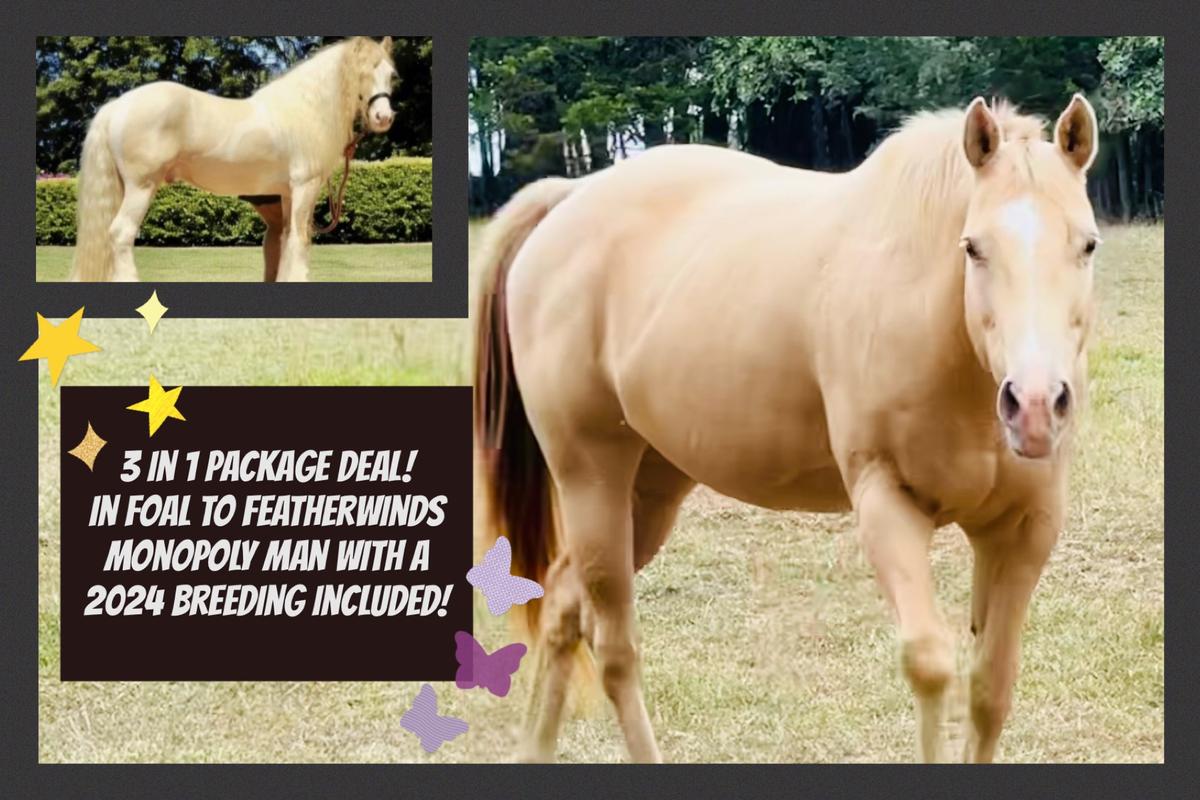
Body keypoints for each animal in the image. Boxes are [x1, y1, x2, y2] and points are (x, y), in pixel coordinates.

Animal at [69, 37, 397, 283]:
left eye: (390, 75)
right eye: (363, 72)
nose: (384, 117)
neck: (304, 109)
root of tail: (115, 106)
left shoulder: (287, 193)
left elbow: (287, 240)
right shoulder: (306, 186)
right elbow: (299, 241)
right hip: (141, 188)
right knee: (121, 234)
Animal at [474, 94, 1101, 763]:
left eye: (1087, 245)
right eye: (973, 247)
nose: (1034, 405)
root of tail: (569, 199)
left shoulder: (1025, 528)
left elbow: (992, 687)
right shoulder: (887, 502)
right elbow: (930, 665)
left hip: (648, 491)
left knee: (563, 606)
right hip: (591, 477)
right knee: (616, 649)